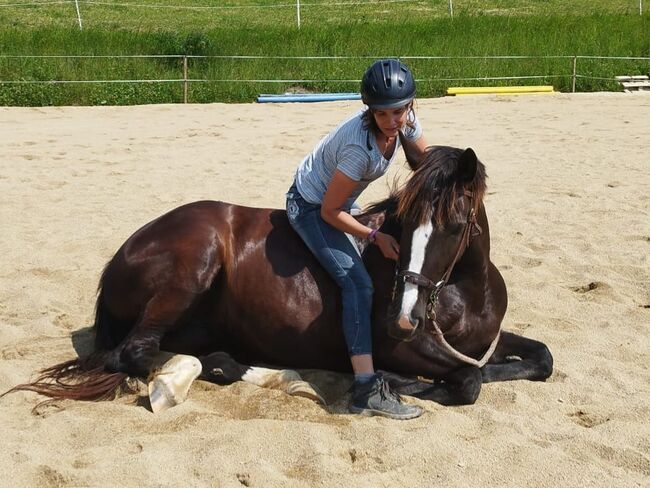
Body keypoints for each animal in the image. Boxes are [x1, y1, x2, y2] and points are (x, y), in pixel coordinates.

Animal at [5, 147, 552, 410]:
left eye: (455, 226)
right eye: (403, 221)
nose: (404, 319)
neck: (465, 292)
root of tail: (124, 250)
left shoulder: (483, 340)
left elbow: (539, 359)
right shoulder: (402, 347)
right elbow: (467, 381)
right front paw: (397, 384)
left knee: (196, 357)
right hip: (192, 265)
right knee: (135, 352)